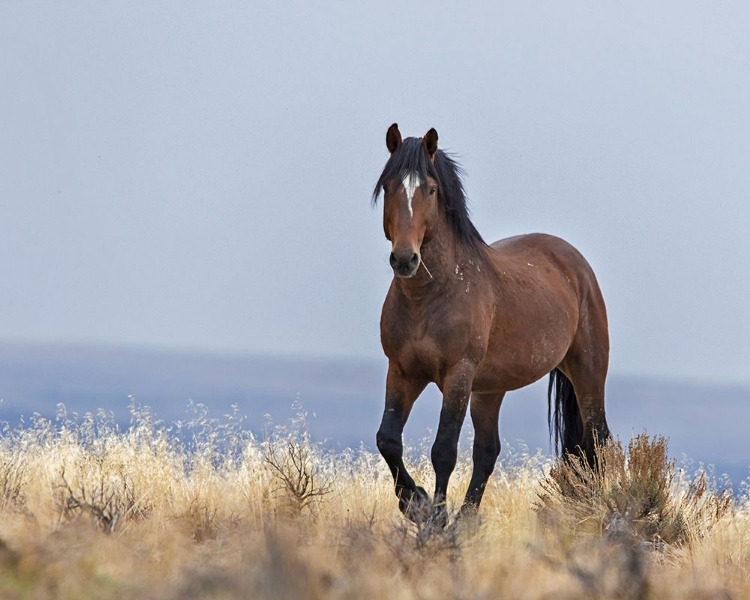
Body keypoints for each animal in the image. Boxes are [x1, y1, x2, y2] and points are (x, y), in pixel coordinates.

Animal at [374, 124, 612, 524]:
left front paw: (436, 519)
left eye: (431, 189)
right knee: (487, 451)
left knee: (598, 440)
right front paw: (416, 503)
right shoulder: (402, 371)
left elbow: (444, 450)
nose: (405, 259)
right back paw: (466, 522)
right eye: (389, 186)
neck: (430, 296)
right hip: (490, 390)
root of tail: (576, 264)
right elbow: (388, 439)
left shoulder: (458, 374)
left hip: (587, 373)